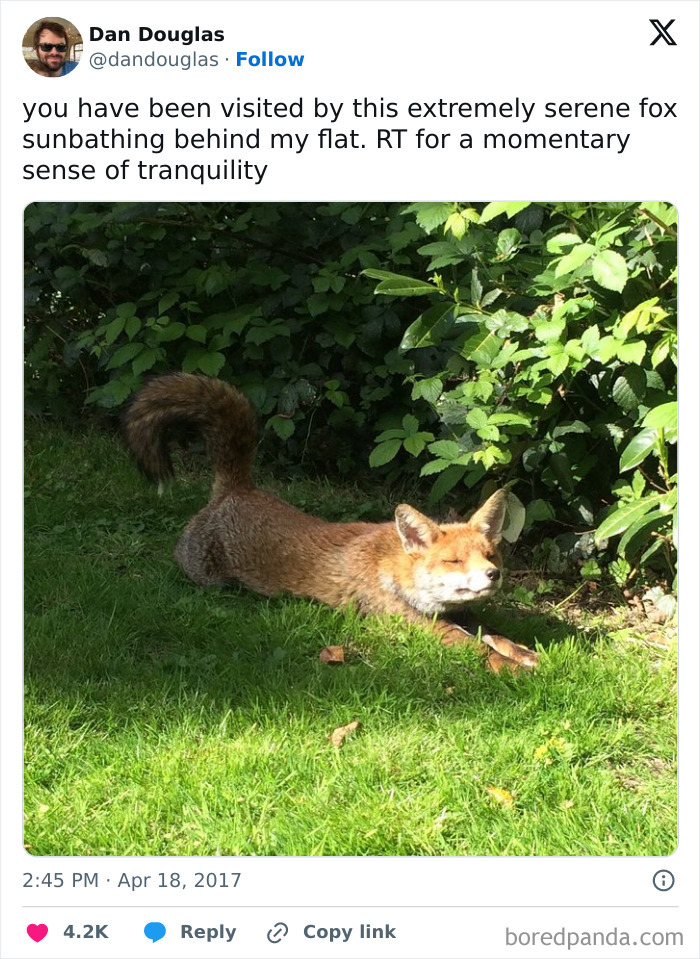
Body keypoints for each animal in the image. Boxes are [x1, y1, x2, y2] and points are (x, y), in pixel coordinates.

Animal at [124, 373, 538, 673]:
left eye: (491, 556)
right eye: (454, 561)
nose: (493, 576)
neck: (398, 574)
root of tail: (239, 489)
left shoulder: (459, 614)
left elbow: (496, 636)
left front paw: (525, 653)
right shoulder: (415, 624)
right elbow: (478, 649)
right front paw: (512, 669)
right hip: (207, 576)